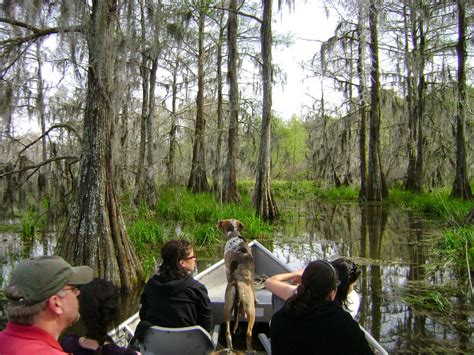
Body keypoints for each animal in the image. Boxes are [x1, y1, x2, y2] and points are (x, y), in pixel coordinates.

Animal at [218, 218, 256, 352]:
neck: (235, 236)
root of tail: (238, 284)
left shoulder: (227, 270)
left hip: (228, 307)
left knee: (228, 332)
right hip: (249, 310)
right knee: (248, 333)